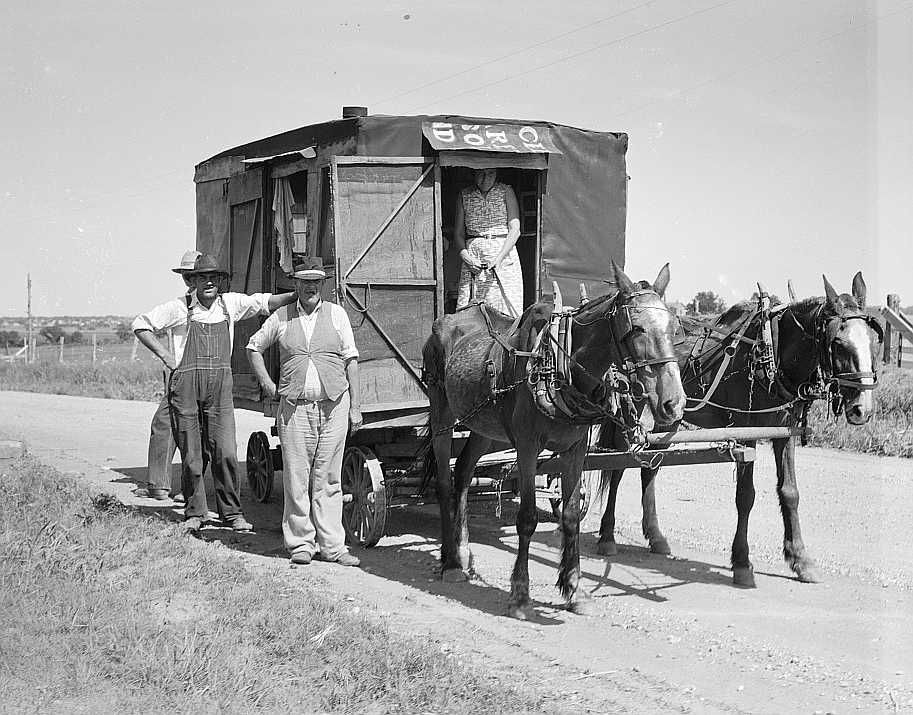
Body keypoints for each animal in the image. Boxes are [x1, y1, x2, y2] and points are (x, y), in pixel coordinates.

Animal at [420, 262, 684, 620]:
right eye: (638, 328)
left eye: (673, 327)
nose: (673, 403)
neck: (560, 364)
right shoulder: (528, 446)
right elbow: (528, 517)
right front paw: (520, 594)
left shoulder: (576, 449)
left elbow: (570, 515)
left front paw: (573, 588)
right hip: (442, 414)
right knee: (446, 483)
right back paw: (450, 562)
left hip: (484, 428)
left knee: (462, 474)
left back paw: (463, 552)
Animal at [596, 274, 880, 588]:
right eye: (838, 344)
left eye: (872, 341)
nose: (862, 408)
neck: (770, 354)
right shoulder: (746, 432)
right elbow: (746, 496)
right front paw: (742, 562)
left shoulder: (784, 433)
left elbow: (790, 492)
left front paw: (800, 559)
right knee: (617, 466)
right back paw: (607, 536)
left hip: (667, 418)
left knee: (650, 468)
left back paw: (655, 536)